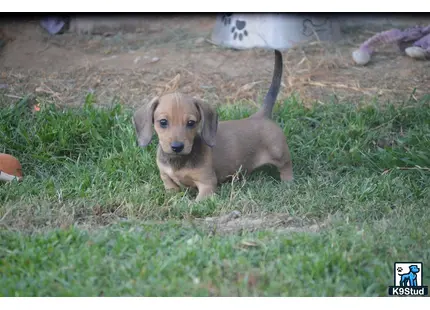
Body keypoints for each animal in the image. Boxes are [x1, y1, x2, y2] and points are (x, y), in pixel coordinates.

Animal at [134, 49, 292, 201]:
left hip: (280, 154)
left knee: (286, 166)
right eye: (163, 122)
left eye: (191, 123)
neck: (178, 161)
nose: (177, 147)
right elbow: (171, 191)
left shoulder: (207, 184)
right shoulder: (167, 179)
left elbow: (198, 202)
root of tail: (261, 115)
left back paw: (287, 183)